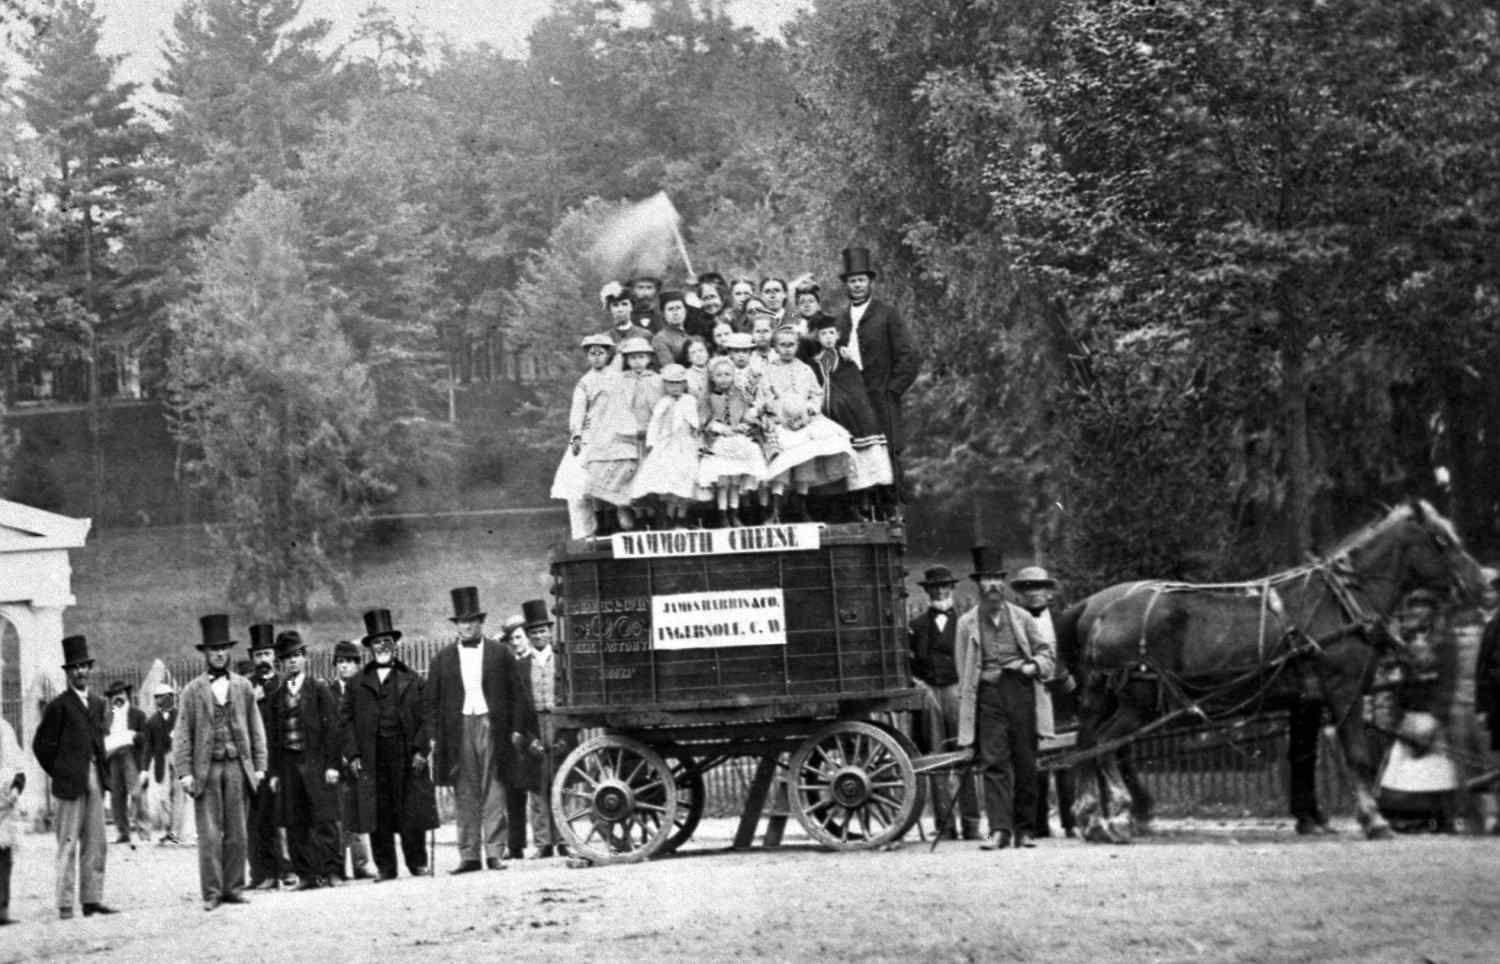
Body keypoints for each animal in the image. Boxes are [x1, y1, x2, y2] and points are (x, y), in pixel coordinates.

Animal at [1056, 500, 1488, 839]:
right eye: (1442, 540)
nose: (1483, 584)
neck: (1341, 601)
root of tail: (1099, 610)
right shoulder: (1344, 690)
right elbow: (1357, 755)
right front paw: (1374, 821)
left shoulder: (1307, 700)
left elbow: (1303, 756)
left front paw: (1312, 818)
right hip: (1139, 700)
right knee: (1107, 745)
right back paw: (1121, 815)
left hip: (1103, 696)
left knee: (1087, 744)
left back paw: (1092, 817)